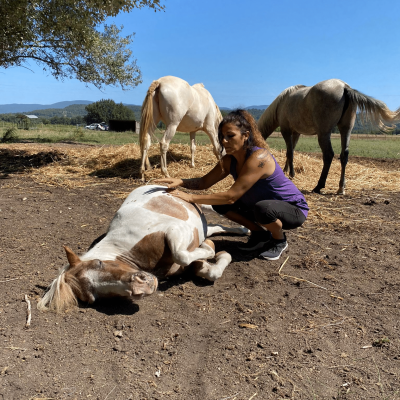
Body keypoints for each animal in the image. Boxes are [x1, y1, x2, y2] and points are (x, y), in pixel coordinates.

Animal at [38, 185, 247, 312]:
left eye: (99, 263)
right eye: (93, 298)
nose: (141, 288)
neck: (125, 250)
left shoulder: (174, 230)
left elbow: (182, 254)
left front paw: (210, 248)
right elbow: (209, 270)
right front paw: (218, 253)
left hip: (195, 203)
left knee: (213, 210)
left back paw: (245, 228)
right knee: (213, 227)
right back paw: (243, 231)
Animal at [258, 79, 398, 195]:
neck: (282, 103)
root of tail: (344, 87)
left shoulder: (286, 131)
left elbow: (290, 153)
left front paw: (291, 174)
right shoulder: (296, 133)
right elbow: (290, 151)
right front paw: (286, 171)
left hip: (324, 134)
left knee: (329, 155)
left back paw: (318, 186)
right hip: (345, 130)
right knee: (344, 155)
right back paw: (341, 188)